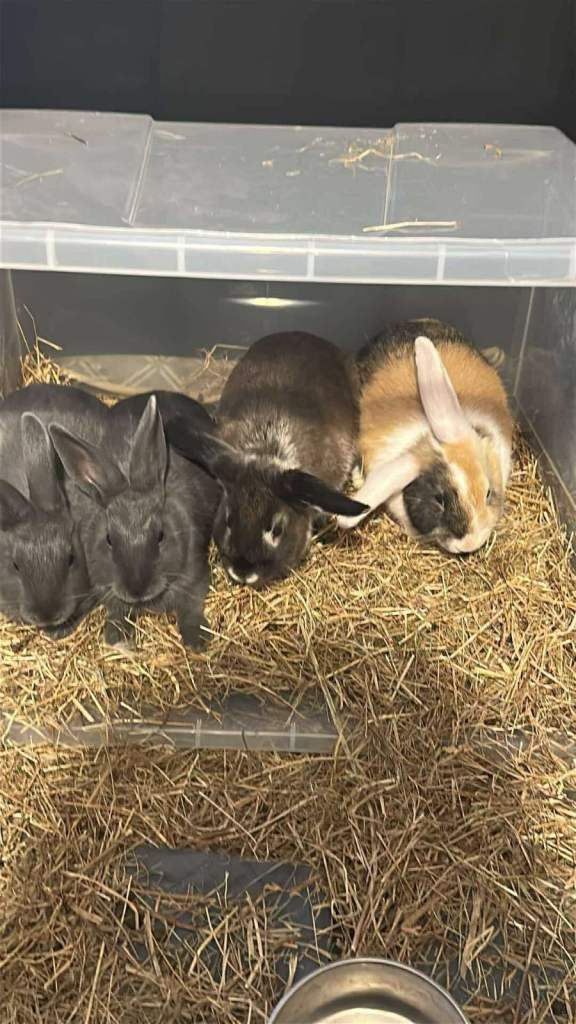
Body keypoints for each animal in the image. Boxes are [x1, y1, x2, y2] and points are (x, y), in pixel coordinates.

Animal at [50, 390, 220, 649]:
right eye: (109, 539)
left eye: (161, 536)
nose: (137, 589)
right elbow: (117, 612)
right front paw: (115, 636)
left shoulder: (195, 574)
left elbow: (191, 607)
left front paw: (197, 640)